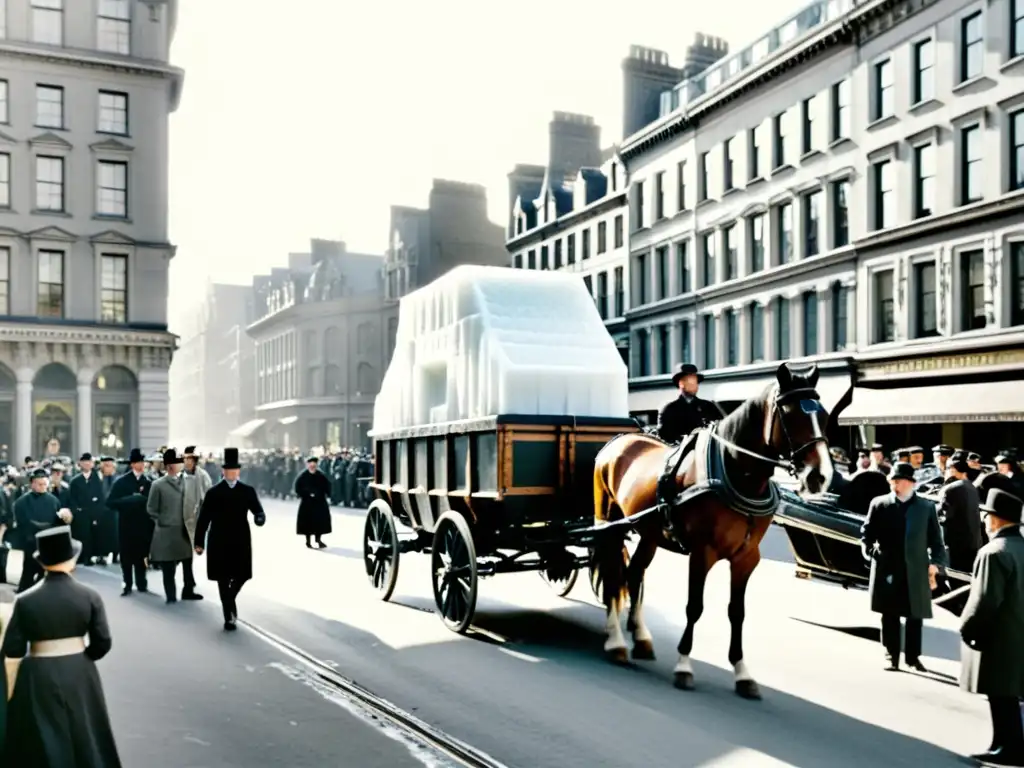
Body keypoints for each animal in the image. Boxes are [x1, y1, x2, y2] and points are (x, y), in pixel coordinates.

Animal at [593, 364, 831, 700]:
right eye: (788, 413)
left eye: (822, 413)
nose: (820, 477)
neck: (736, 473)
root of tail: (619, 440)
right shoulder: (702, 552)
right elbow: (695, 607)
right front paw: (683, 666)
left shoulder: (746, 558)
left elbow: (737, 612)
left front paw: (742, 673)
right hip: (609, 524)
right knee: (614, 576)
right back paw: (615, 641)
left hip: (649, 533)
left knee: (633, 573)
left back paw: (640, 637)